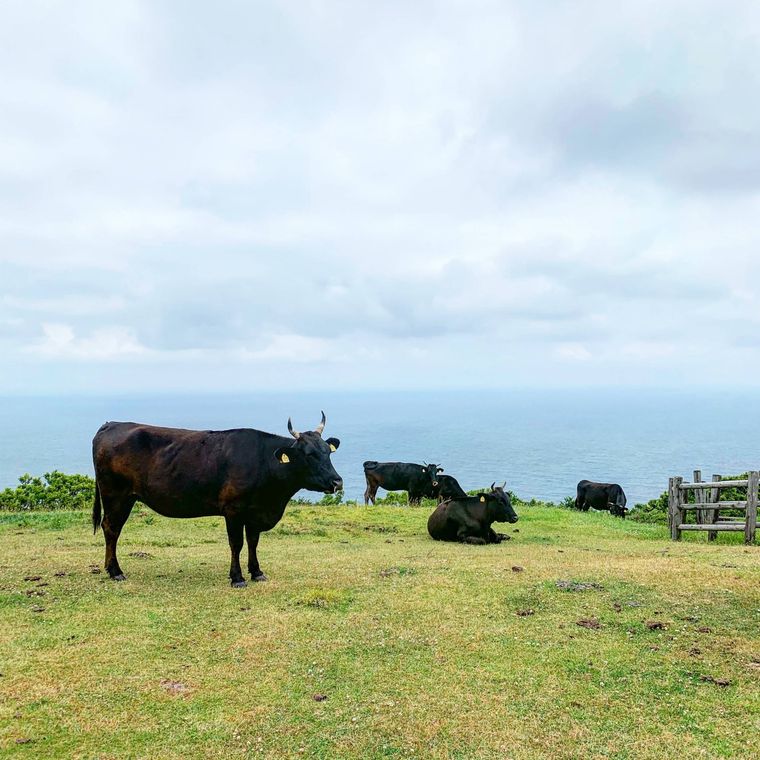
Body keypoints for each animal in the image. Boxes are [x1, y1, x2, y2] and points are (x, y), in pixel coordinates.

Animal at [91, 412, 342, 584]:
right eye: (309, 454)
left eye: (328, 452)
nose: (337, 482)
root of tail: (110, 424)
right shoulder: (233, 509)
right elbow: (236, 543)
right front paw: (237, 578)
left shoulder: (254, 511)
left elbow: (253, 541)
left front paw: (257, 572)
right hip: (115, 495)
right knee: (111, 528)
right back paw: (115, 571)